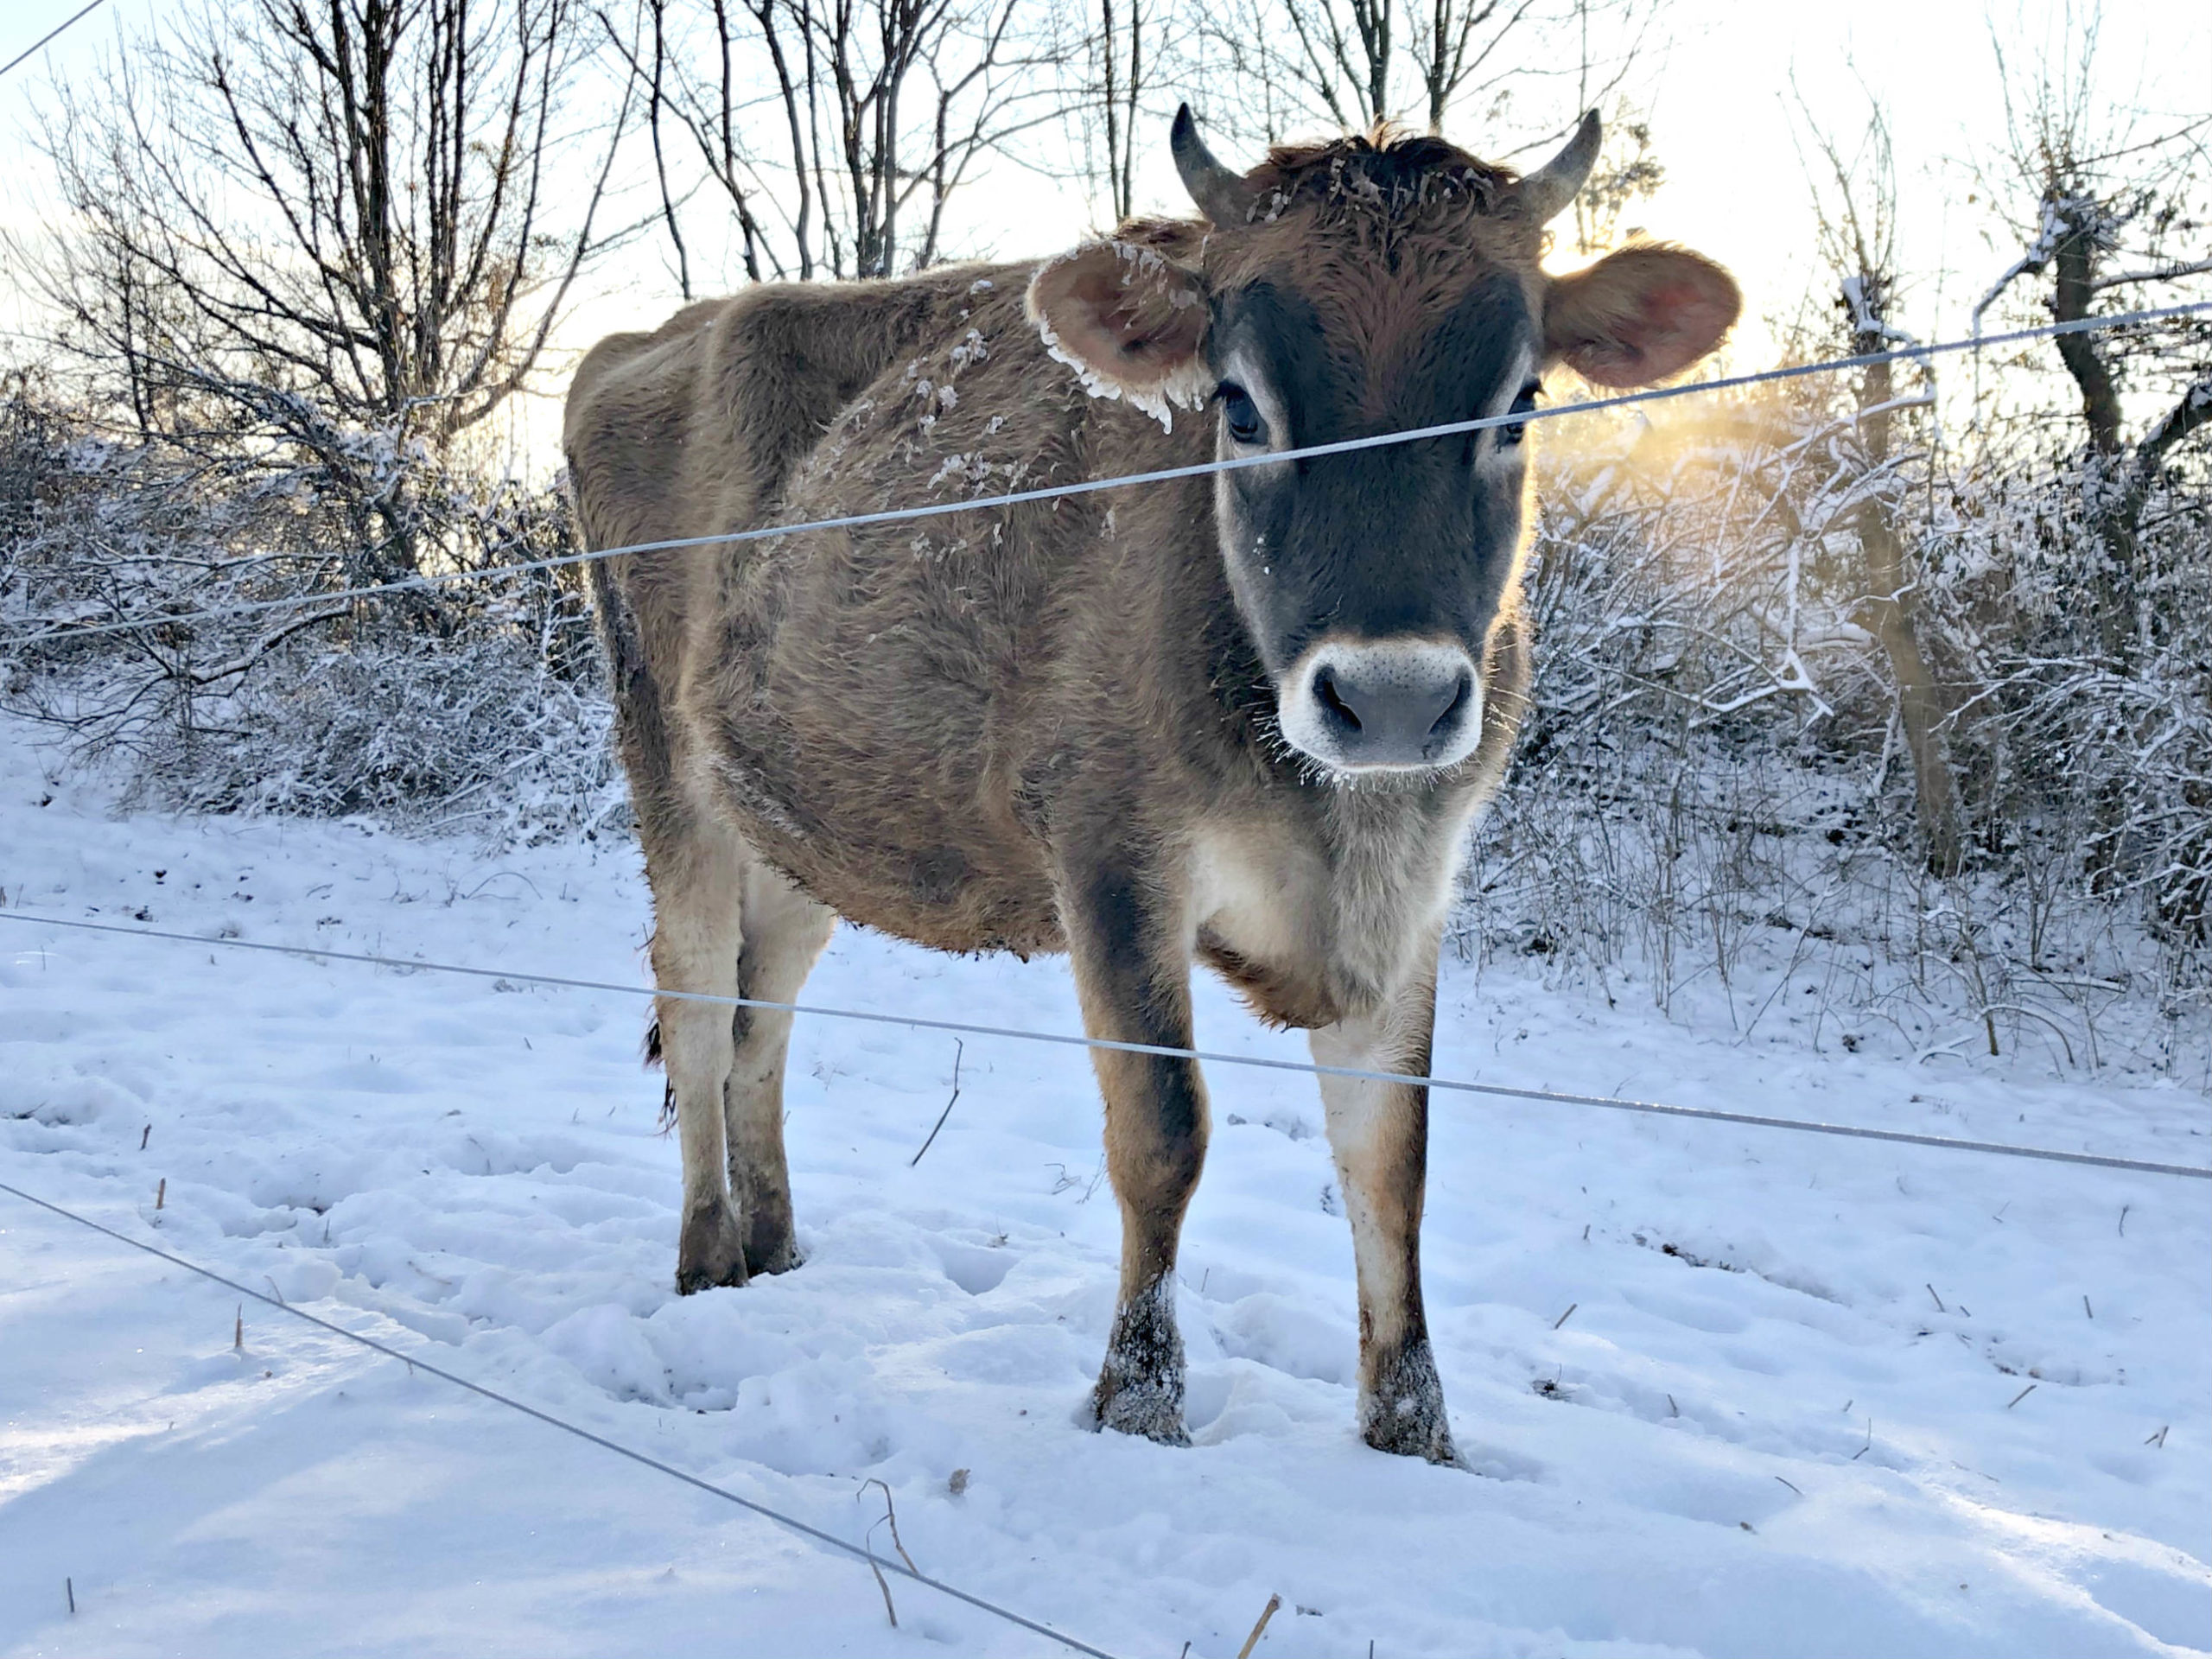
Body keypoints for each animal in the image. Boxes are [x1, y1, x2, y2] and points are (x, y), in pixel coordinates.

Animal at [563, 106, 1738, 1462]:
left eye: (1519, 404)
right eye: (1240, 404)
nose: (1389, 698)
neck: (1322, 813)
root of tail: (649, 338)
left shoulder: (1409, 888)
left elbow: (1393, 1159)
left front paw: (1416, 1433)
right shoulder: (1113, 860)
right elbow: (1164, 1131)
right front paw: (1138, 1400)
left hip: (802, 823)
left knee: (764, 1021)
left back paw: (776, 1247)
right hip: (668, 770)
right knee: (700, 1002)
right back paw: (708, 1256)